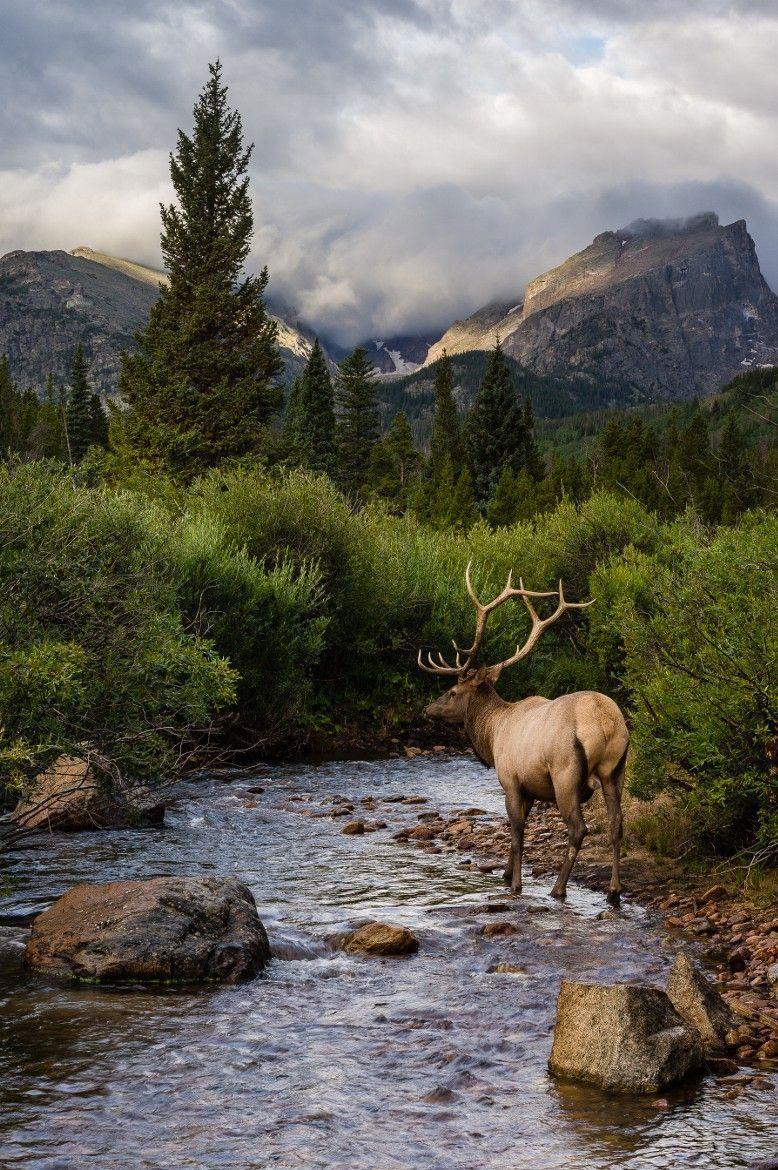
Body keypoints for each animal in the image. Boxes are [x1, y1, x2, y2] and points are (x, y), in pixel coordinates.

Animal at [418, 563, 629, 905]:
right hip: (616, 769)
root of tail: (605, 724)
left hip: (565, 773)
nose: (427, 709)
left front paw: (515, 884)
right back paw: (613, 889)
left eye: (452, 692)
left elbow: (517, 832)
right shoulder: (529, 786)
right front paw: (505, 873)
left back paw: (558, 888)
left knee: (578, 829)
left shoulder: (511, 781)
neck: (492, 735)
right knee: (616, 824)